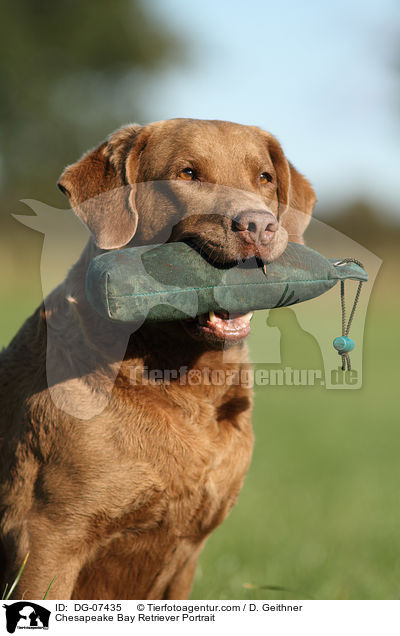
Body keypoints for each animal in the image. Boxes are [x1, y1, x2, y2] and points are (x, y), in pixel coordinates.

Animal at [0, 119, 316, 600]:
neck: (186, 384)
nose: (258, 225)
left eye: (264, 177)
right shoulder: (47, 538)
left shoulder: (185, 555)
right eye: (187, 174)